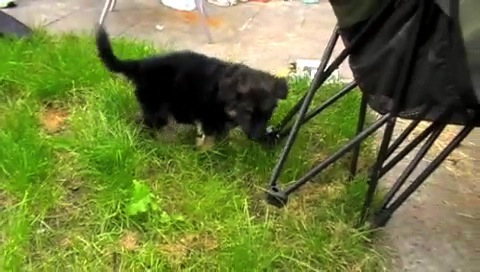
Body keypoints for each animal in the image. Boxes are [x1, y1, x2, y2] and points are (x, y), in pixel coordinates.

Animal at [95, 25, 286, 149]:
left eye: (267, 114)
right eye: (249, 113)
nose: (257, 137)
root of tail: (140, 65)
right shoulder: (209, 120)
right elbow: (209, 141)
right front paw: (207, 155)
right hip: (157, 110)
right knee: (145, 122)